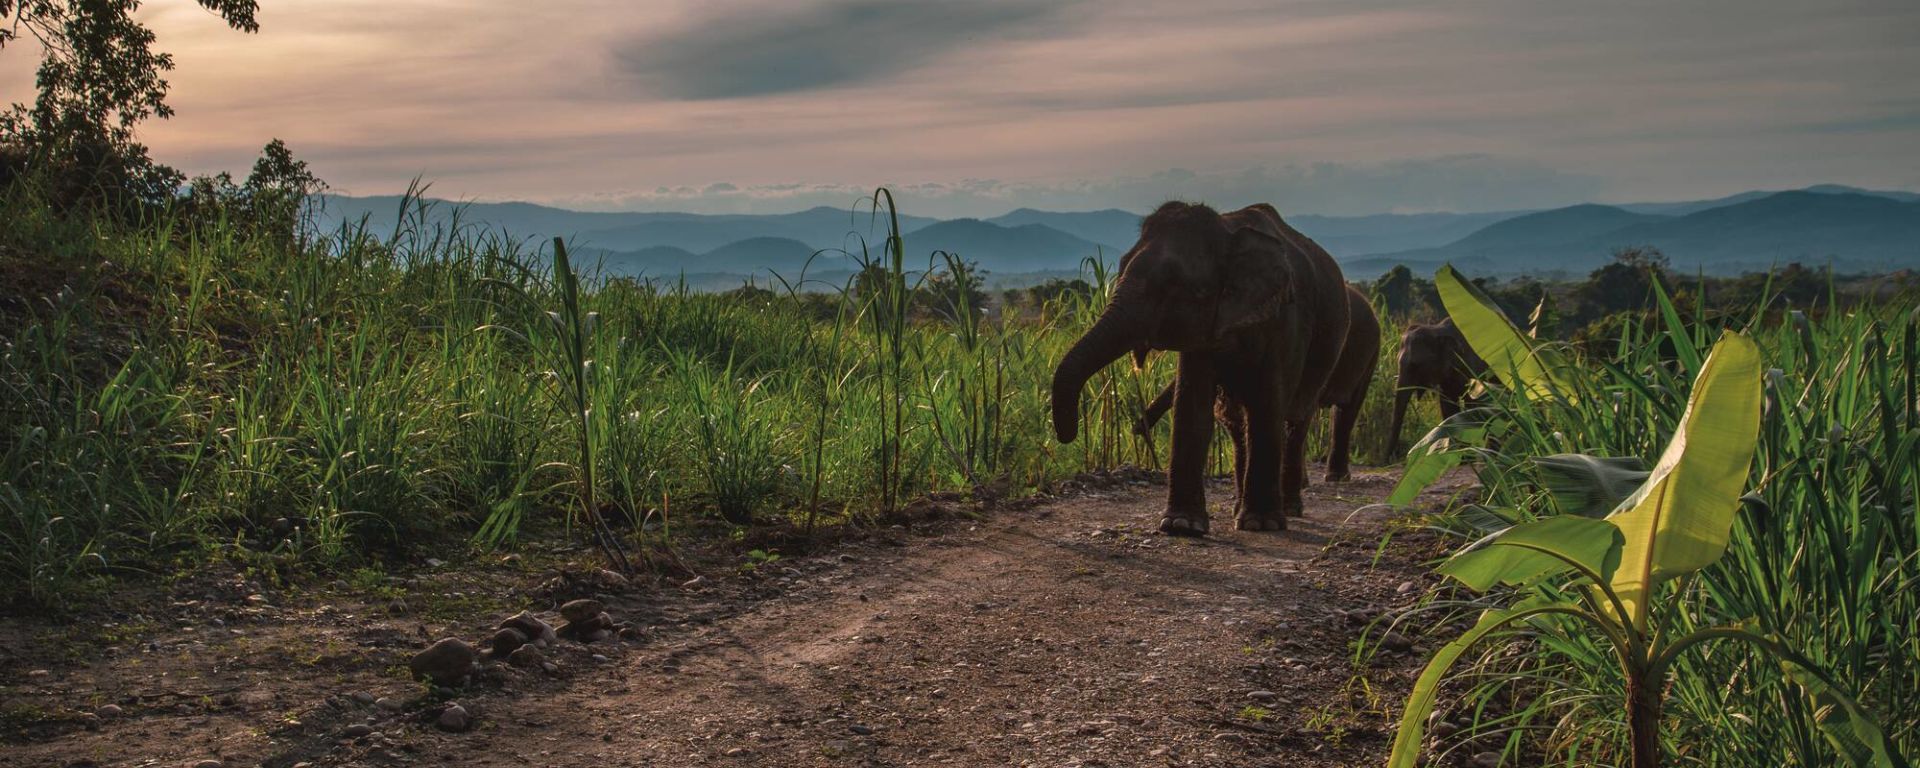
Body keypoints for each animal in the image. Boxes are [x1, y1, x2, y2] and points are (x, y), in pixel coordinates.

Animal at [1385, 318, 1487, 455]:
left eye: (1415, 365)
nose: (1389, 458)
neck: (1436, 329)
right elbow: (1448, 408)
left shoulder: (1470, 368)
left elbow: (1472, 405)